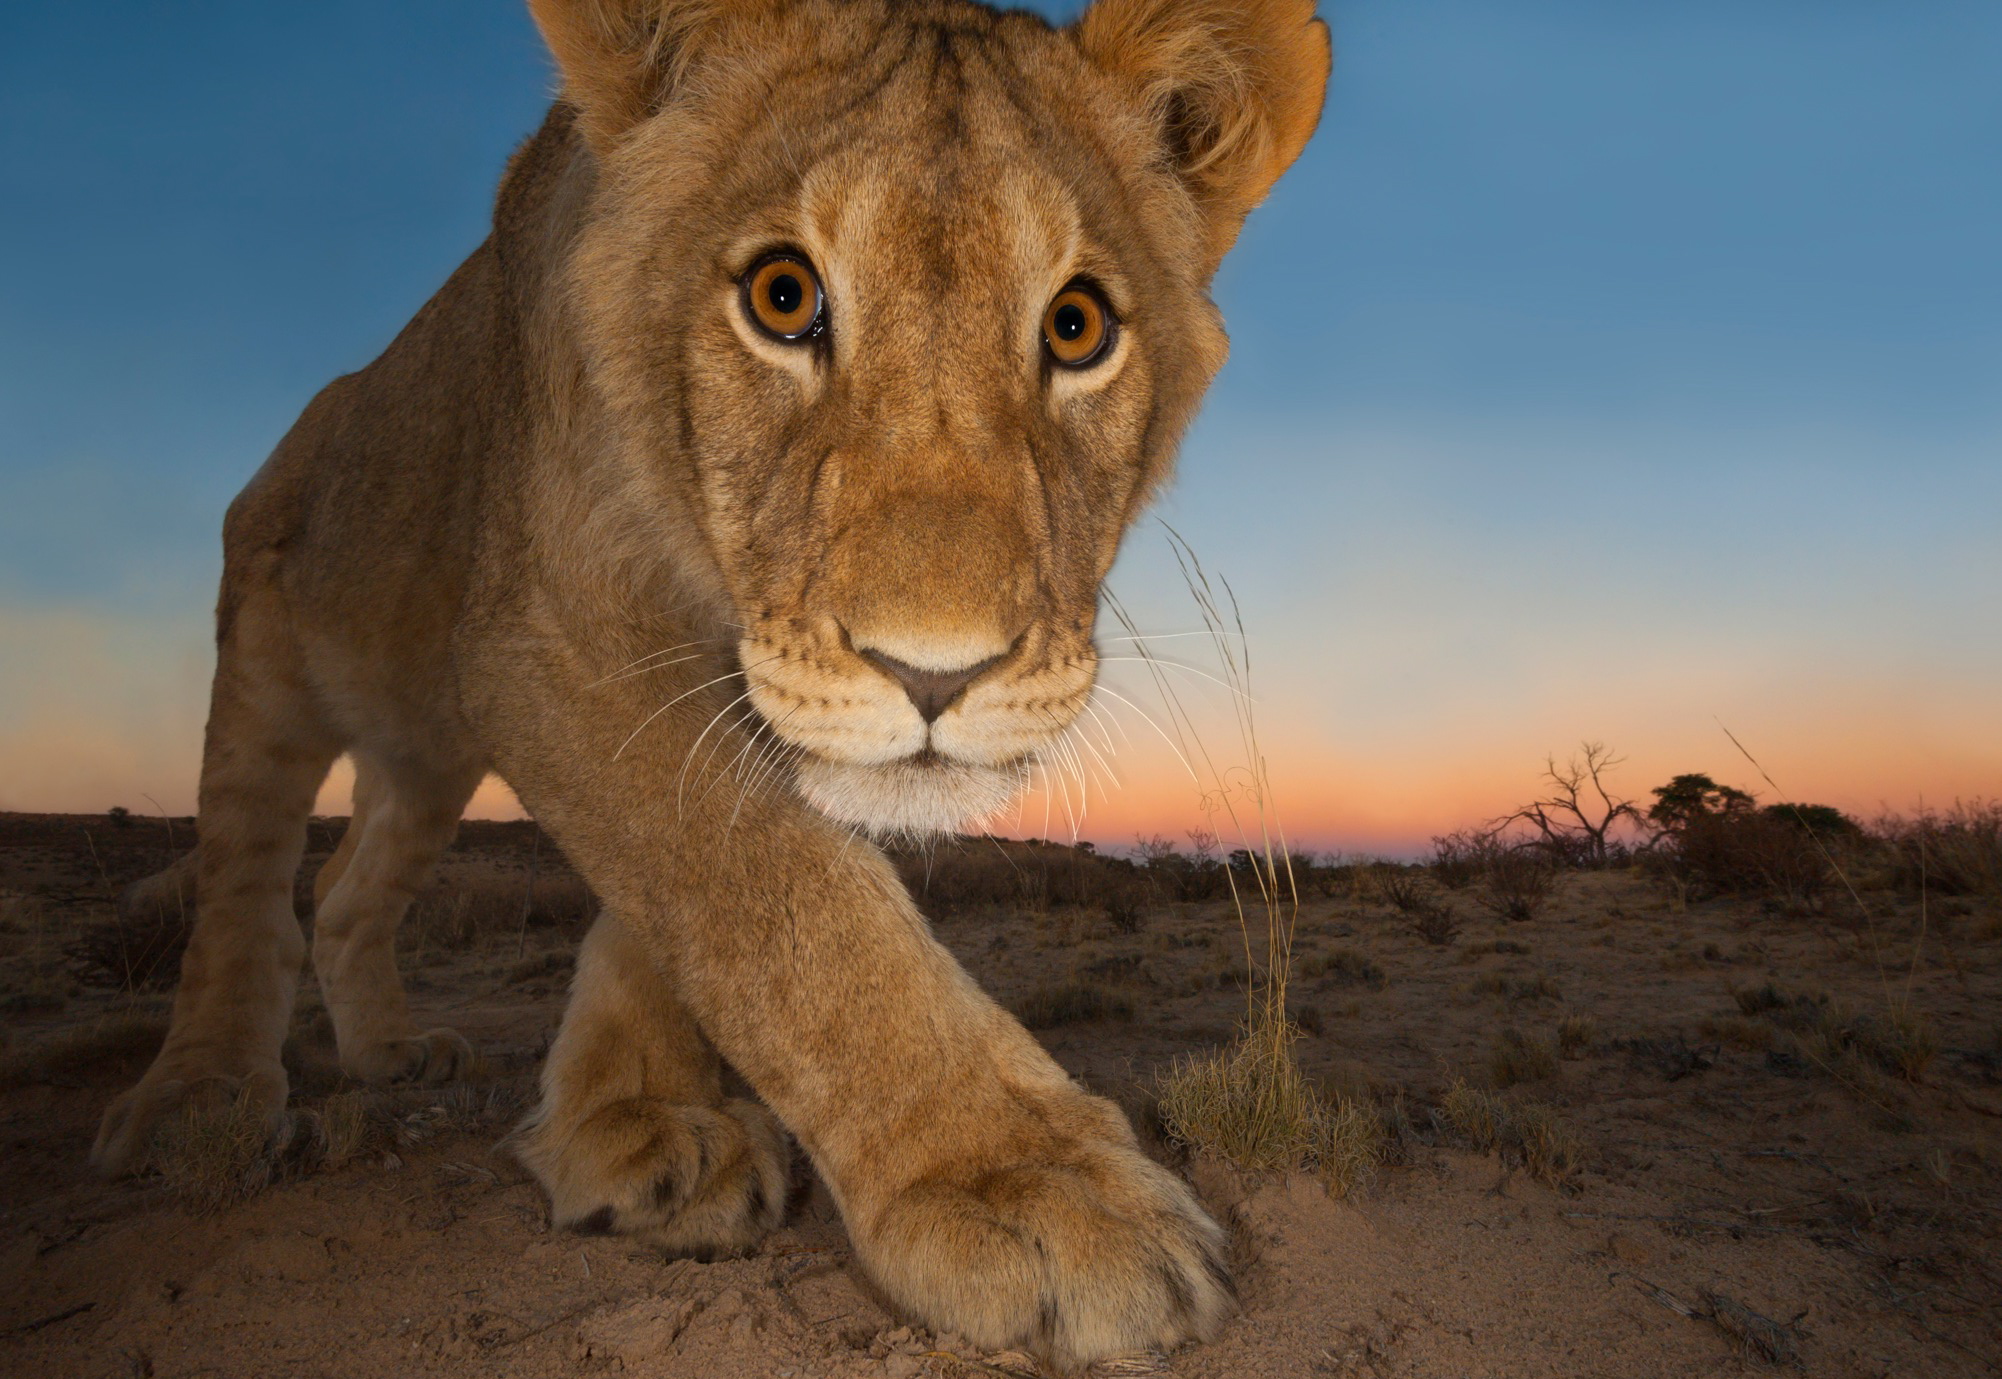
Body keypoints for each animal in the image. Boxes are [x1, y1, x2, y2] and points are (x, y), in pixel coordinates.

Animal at [90, 0, 1329, 1368]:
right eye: (783, 298)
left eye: (1076, 327)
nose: (934, 672)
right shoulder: (552, 631)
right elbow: (775, 900)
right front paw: (1020, 1186)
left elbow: (690, 898)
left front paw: (625, 1120)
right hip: (268, 654)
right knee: (247, 880)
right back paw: (201, 1099)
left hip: (422, 756)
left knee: (352, 887)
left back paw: (395, 1053)